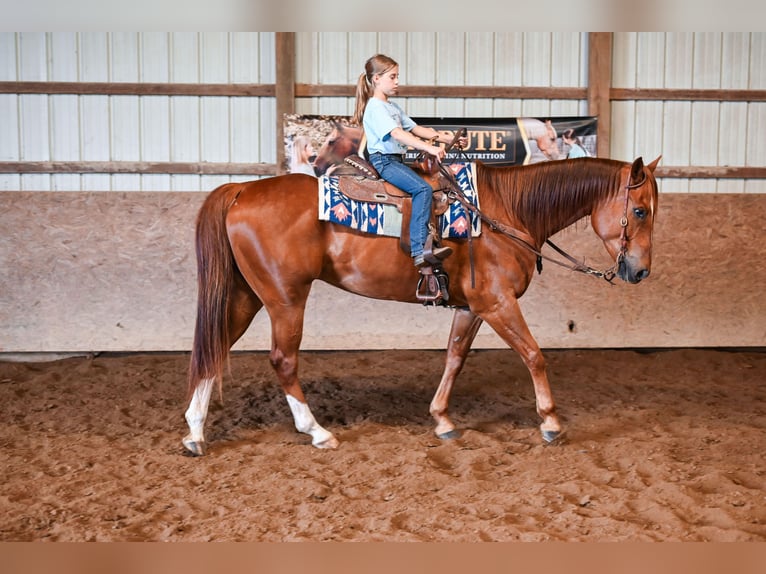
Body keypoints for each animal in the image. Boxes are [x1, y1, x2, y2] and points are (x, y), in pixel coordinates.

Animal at [184, 155, 660, 456]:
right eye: (639, 211)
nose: (640, 272)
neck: (506, 212)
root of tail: (241, 190)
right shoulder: (497, 303)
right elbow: (534, 355)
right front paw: (550, 422)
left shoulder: (472, 307)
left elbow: (455, 357)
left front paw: (442, 419)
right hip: (286, 299)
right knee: (283, 360)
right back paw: (317, 432)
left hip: (247, 296)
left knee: (215, 349)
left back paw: (194, 433)